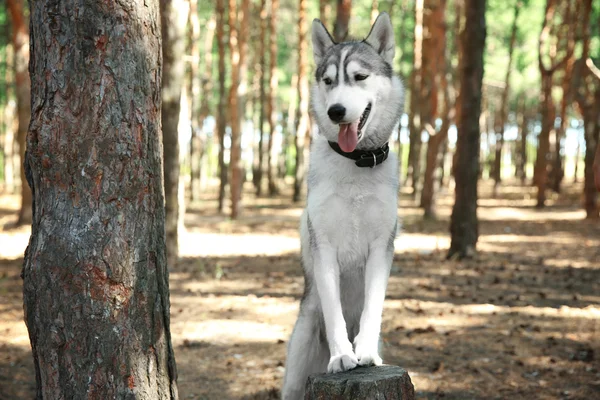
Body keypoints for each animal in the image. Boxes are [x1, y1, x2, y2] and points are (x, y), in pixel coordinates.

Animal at [282, 12, 406, 400]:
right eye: (328, 81)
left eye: (360, 77)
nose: (336, 111)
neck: (357, 164)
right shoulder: (324, 247)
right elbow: (334, 312)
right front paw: (341, 356)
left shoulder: (382, 247)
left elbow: (372, 308)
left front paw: (362, 351)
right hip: (301, 344)